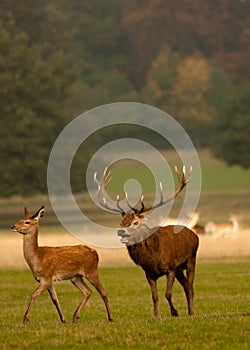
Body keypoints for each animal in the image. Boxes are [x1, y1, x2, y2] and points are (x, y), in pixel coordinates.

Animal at [94, 166, 199, 318]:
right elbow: (154, 296)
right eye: (121, 222)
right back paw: (190, 311)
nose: (121, 231)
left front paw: (174, 312)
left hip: (191, 259)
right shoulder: (149, 273)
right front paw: (156, 315)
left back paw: (191, 313)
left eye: (135, 222)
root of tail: (194, 234)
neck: (153, 258)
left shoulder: (171, 268)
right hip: (180, 268)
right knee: (186, 286)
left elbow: (168, 294)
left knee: (190, 286)